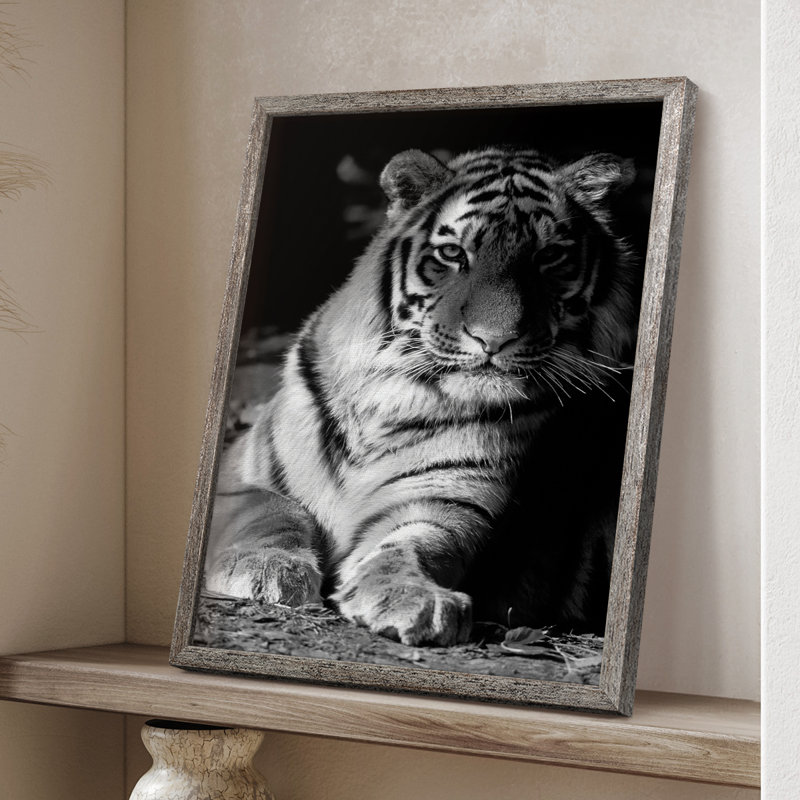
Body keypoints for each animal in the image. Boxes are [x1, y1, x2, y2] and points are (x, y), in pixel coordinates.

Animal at [203, 145, 639, 648]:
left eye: (549, 257)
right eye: (452, 253)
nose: (494, 339)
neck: (394, 397)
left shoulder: (448, 503)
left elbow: (411, 546)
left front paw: (414, 599)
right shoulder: (237, 473)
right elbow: (273, 508)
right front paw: (268, 570)